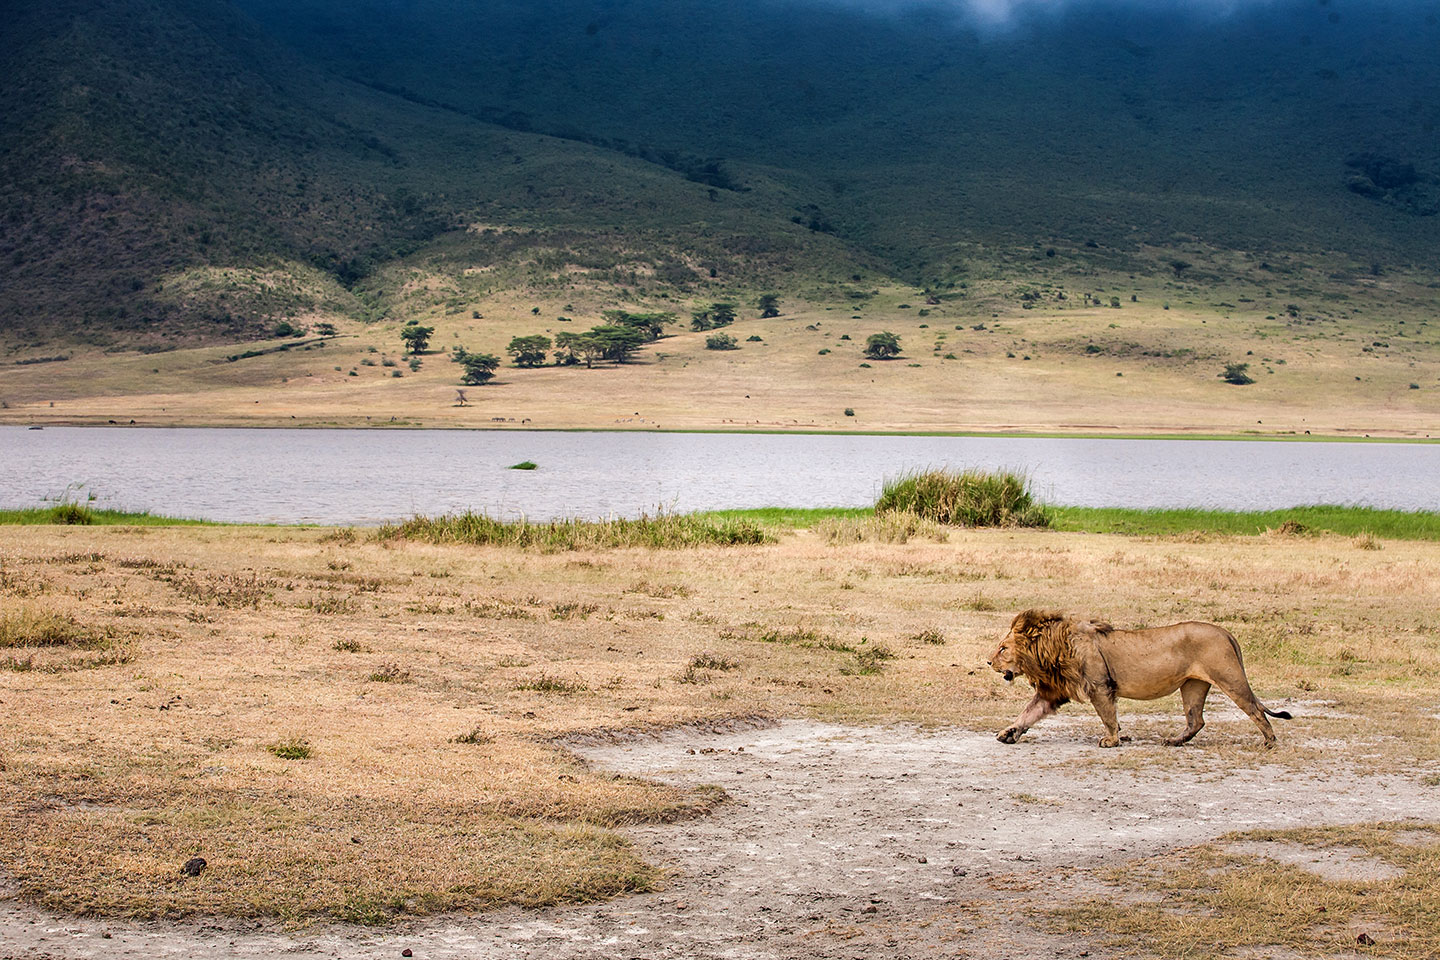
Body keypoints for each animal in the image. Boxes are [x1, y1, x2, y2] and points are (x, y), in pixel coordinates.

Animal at [987, 609, 1291, 748]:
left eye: (1003, 648)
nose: (988, 661)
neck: (1052, 648)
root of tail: (1226, 632)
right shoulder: (1053, 692)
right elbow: (1028, 713)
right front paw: (1008, 733)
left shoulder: (1100, 686)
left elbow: (1108, 716)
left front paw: (1111, 740)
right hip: (1193, 685)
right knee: (1196, 720)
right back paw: (1174, 741)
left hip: (1229, 678)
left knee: (1255, 710)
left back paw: (1269, 742)